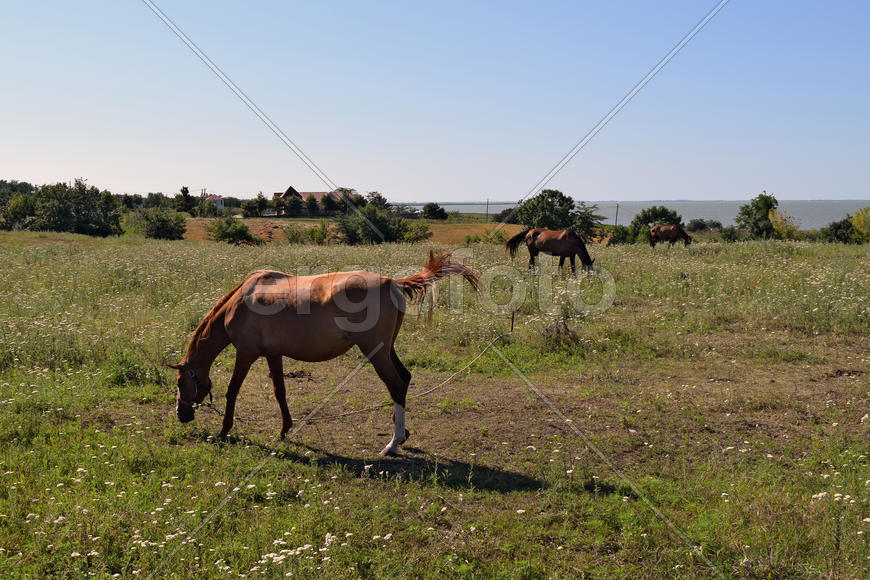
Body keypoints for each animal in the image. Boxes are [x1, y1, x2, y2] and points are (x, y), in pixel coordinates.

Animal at [170, 251, 480, 456]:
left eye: (180, 383)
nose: (181, 415)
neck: (241, 301)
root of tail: (391, 281)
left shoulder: (246, 354)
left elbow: (233, 391)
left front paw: (224, 430)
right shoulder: (273, 354)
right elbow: (280, 391)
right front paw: (285, 430)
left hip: (376, 353)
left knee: (396, 384)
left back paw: (392, 444)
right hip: (386, 349)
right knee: (404, 379)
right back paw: (401, 434)